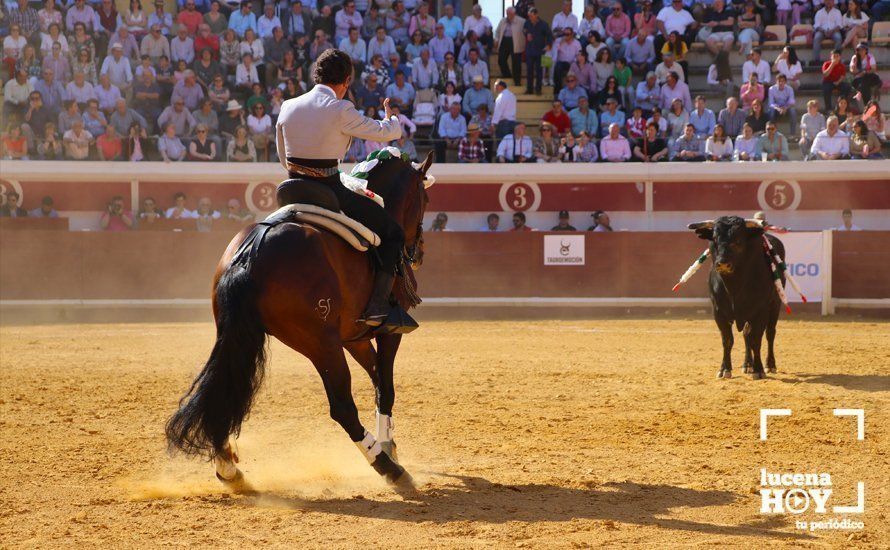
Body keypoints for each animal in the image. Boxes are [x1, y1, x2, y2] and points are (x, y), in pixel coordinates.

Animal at [166, 152, 434, 488]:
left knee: (223, 388)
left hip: (237, 336)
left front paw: (391, 442)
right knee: (342, 407)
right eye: (424, 197)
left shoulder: (352, 336)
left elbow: (374, 376)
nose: (419, 253)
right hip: (320, 344)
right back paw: (389, 469)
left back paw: (228, 469)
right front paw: (388, 446)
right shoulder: (388, 331)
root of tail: (251, 251)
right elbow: (385, 385)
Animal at [688, 218, 784, 382]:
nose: (723, 263)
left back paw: (770, 365)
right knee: (746, 334)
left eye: (738, 241)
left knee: (770, 333)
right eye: (714, 239)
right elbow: (727, 340)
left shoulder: (760, 310)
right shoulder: (718, 311)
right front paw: (724, 369)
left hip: (775, 304)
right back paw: (747, 365)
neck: (734, 285)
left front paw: (759, 370)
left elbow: (756, 339)